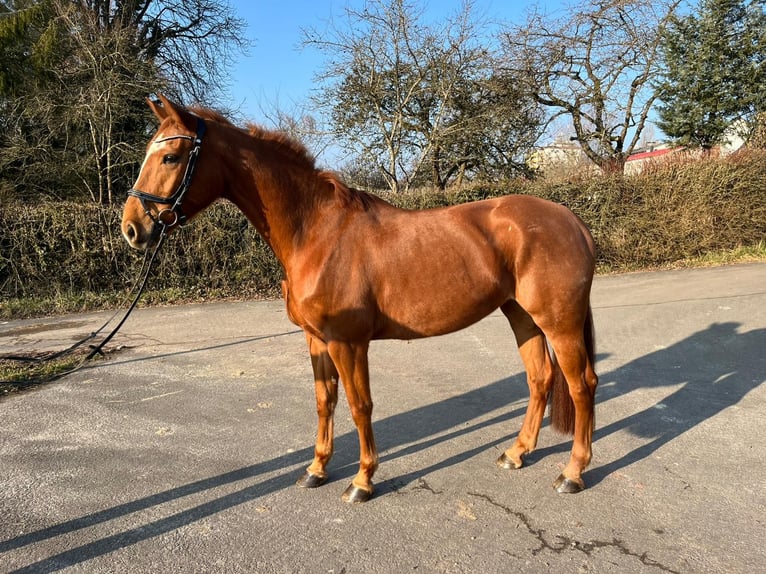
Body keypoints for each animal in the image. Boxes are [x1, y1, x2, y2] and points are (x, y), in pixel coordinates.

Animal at [121, 97, 600, 506]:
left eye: (171, 157)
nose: (131, 228)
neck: (316, 233)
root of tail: (570, 218)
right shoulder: (316, 340)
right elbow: (325, 401)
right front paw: (316, 469)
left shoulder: (347, 342)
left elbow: (359, 405)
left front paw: (362, 480)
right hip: (522, 315)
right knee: (539, 379)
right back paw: (516, 453)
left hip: (558, 322)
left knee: (581, 385)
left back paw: (572, 473)